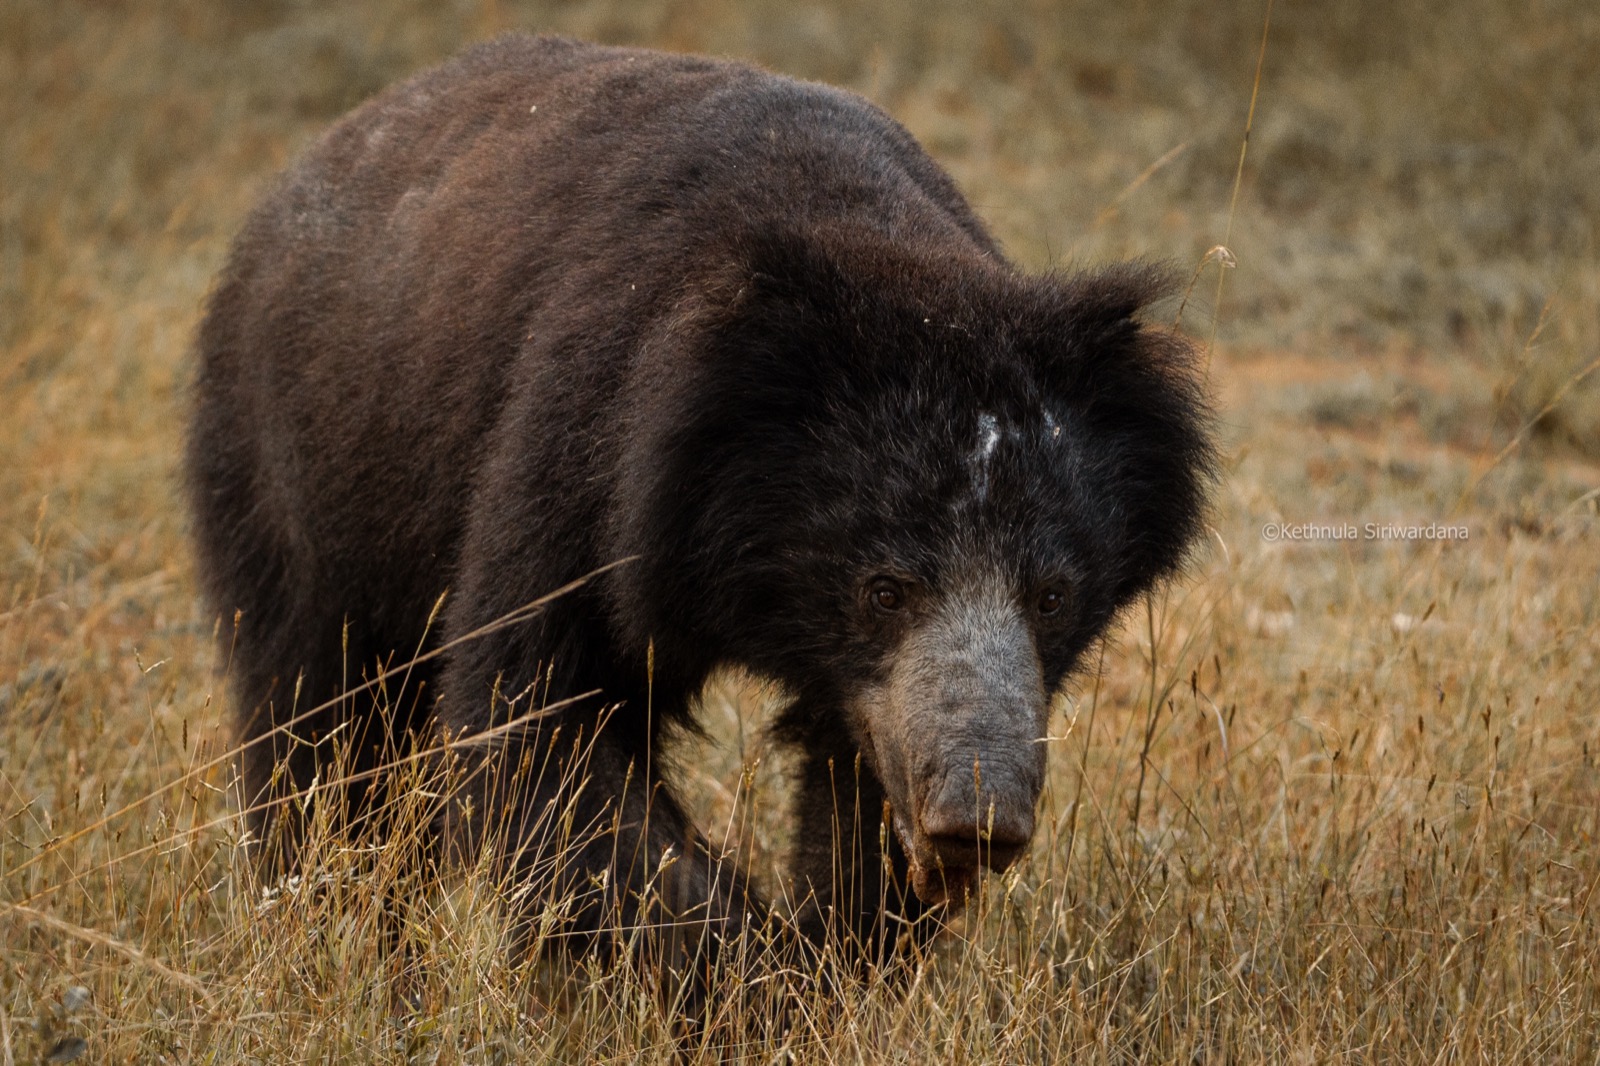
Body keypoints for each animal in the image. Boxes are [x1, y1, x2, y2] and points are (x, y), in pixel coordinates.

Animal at [187, 34, 1214, 1003]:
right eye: (883, 591)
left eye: (1051, 597)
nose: (975, 822)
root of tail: (314, 160)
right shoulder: (587, 459)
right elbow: (536, 719)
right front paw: (746, 981)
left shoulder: (870, 693)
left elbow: (852, 783)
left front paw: (833, 966)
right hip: (297, 473)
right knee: (317, 722)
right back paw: (330, 928)